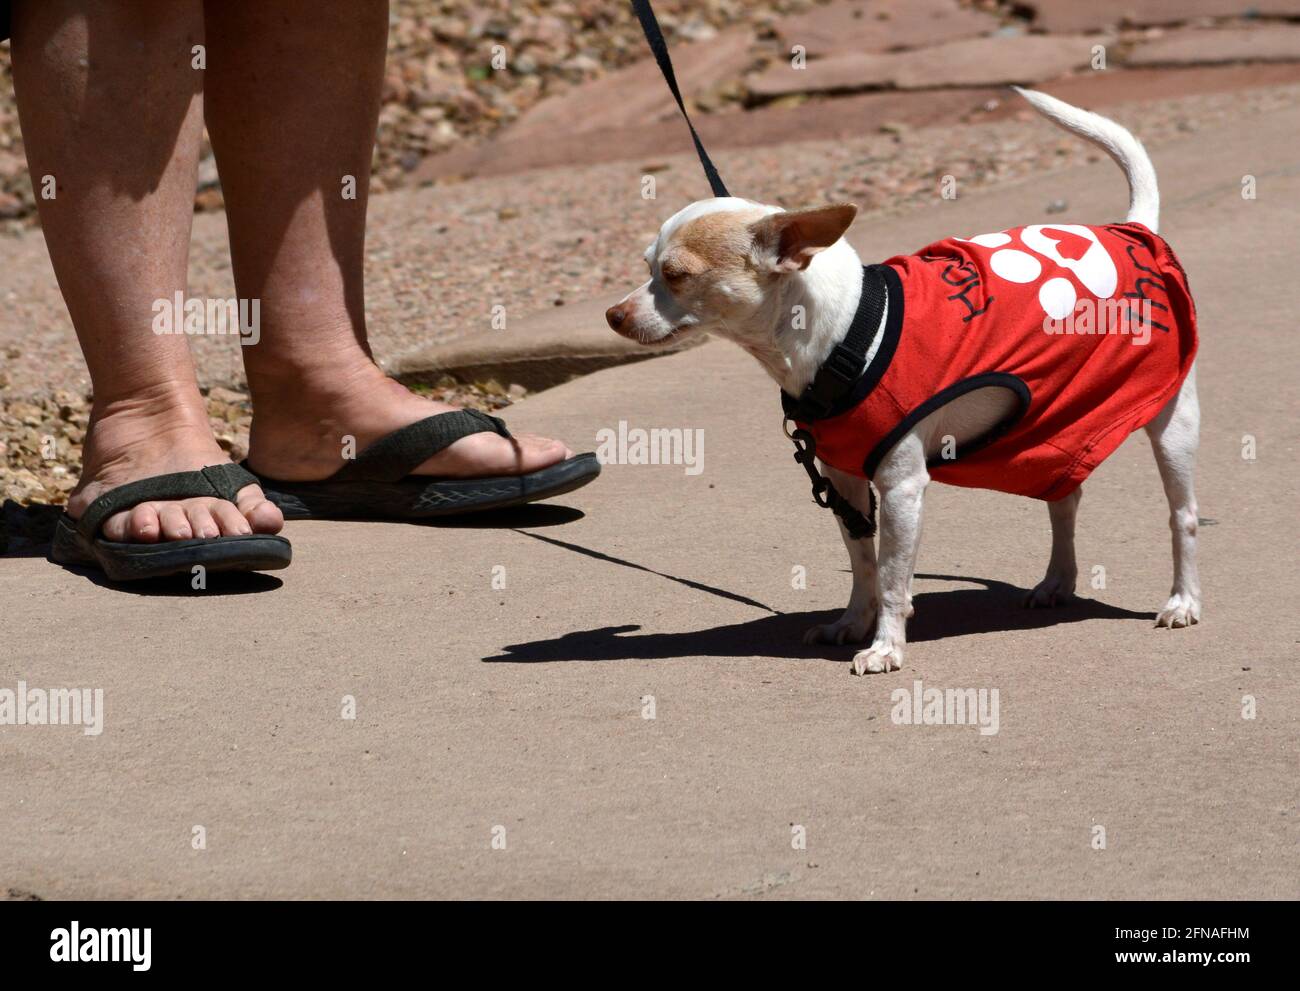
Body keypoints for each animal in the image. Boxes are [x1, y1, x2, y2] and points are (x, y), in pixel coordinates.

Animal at [605, 89, 1196, 671]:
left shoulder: (900, 488)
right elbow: (865, 567)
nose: (613, 315)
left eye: (676, 275)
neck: (845, 334)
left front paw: (886, 646)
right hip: (1050, 426)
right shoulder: (844, 482)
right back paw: (1058, 581)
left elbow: (893, 577)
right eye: (646, 267)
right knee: (1064, 499)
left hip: (1172, 425)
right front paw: (852, 623)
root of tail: (1133, 230)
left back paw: (1182, 601)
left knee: (1182, 517)